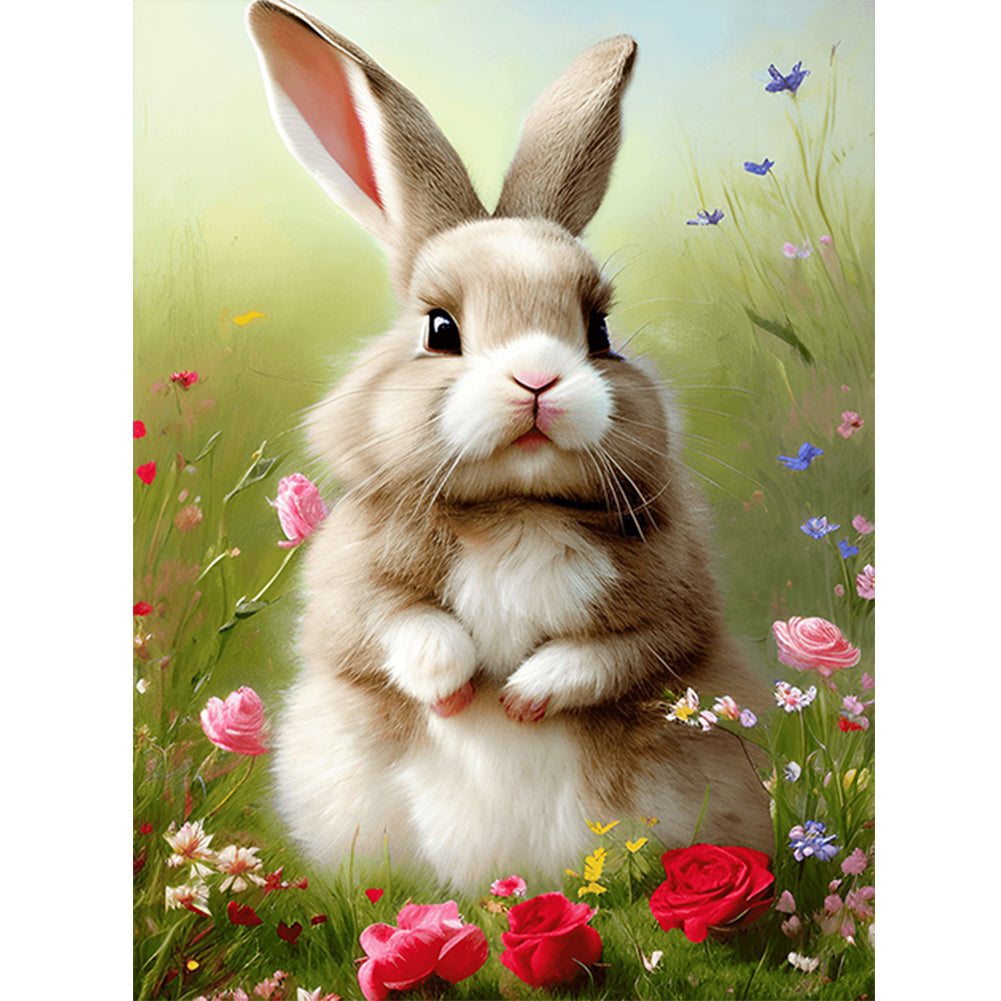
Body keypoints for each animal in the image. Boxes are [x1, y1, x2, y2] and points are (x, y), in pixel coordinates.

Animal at [246, 0, 773, 893]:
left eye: (598, 332)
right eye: (439, 329)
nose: (537, 379)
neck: (515, 508)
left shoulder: (674, 606)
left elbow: (622, 651)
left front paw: (524, 696)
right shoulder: (349, 586)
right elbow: (393, 626)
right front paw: (454, 687)